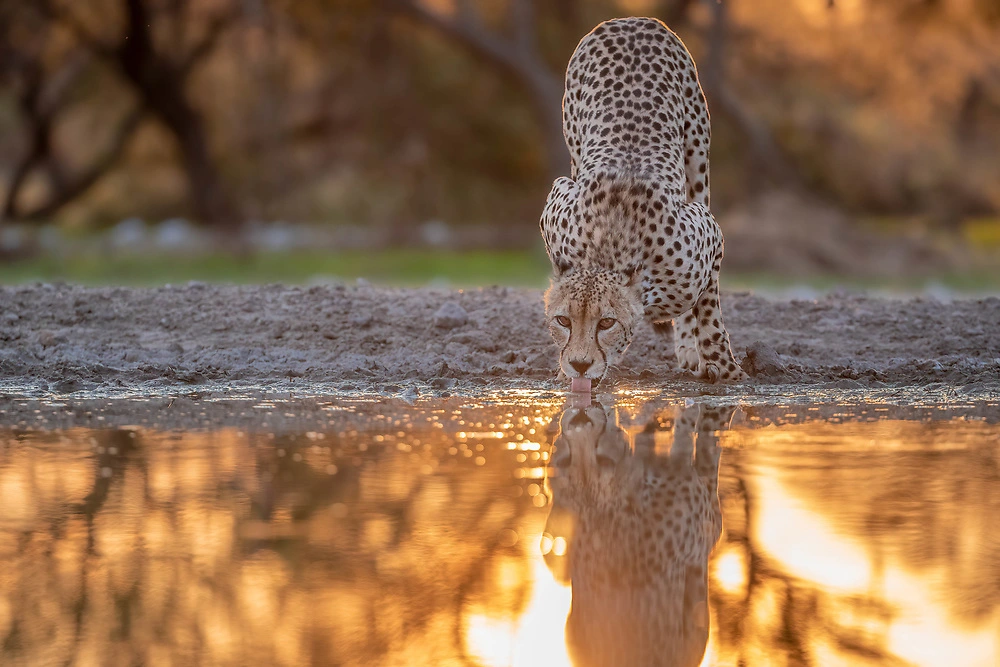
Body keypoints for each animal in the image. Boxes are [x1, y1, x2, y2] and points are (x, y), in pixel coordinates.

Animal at [544, 18, 748, 388]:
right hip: (574, 144)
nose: (579, 365)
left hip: (698, 160)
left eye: (606, 323)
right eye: (563, 321)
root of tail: (630, 21)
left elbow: (708, 306)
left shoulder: (709, 230)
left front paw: (724, 367)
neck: (609, 247)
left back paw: (690, 350)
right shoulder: (560, 193)